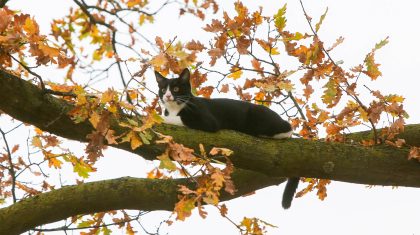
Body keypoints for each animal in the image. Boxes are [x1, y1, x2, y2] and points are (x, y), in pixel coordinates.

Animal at [155, 68, 298, 209]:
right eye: (163, 89)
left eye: (176, 89)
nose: (167, 96)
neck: (175, 108)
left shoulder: (208, 121)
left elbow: (180, 119)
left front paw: (158, 117)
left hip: (261, 120)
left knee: (287, 127)